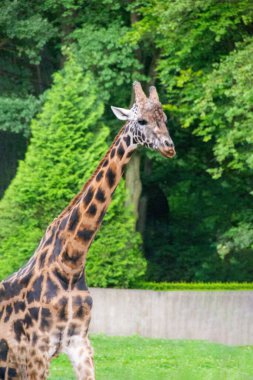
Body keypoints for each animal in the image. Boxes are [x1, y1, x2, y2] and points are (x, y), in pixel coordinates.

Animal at [0, 81, 175, 378]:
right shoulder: (37, 350)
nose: (169, 147)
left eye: (164, 119)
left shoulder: (79, 342)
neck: (71, 261)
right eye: (140, 120)